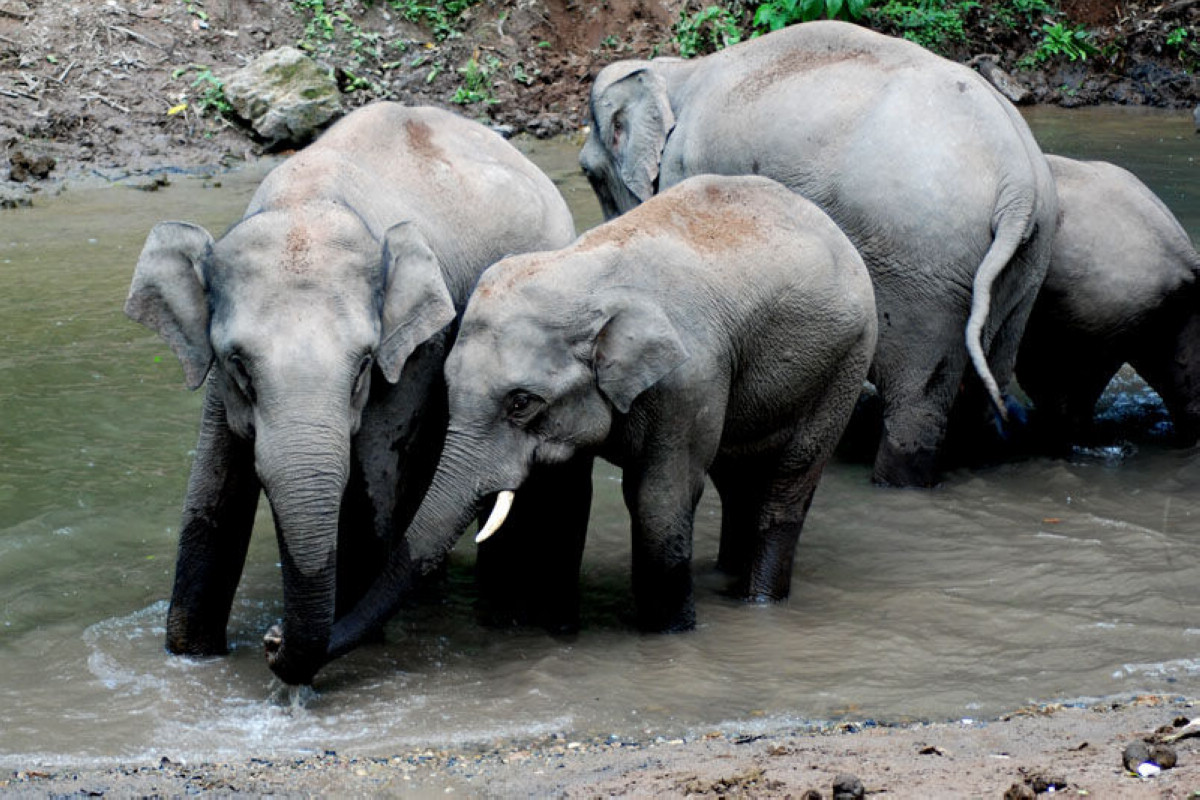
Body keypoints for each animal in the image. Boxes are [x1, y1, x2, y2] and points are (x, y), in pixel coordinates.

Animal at [125, 101, 575, 685]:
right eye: (238, 364)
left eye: (363, 365)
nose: (271, 640)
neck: (305, 200)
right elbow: (214, 491)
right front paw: (191, 658)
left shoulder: (412, 353)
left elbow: (369, 485)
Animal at [326, 174, 878, 641]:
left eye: (521, 403)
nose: (281, 650)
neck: (580, 273)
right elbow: (567, 495)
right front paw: (558, 631)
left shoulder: (688, 380)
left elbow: (658, 499)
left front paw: (669, 637)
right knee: (739, 479)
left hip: (846, 361)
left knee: (786, 482)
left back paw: (758, 601)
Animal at [578, 19, 1058, 487]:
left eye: (588, 173)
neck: (677, 72)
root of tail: (1018, 183)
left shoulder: (685, 168)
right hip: (1025, 266)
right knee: (988, 378)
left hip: (928, 271)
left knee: (917, 402)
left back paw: (892, 480)